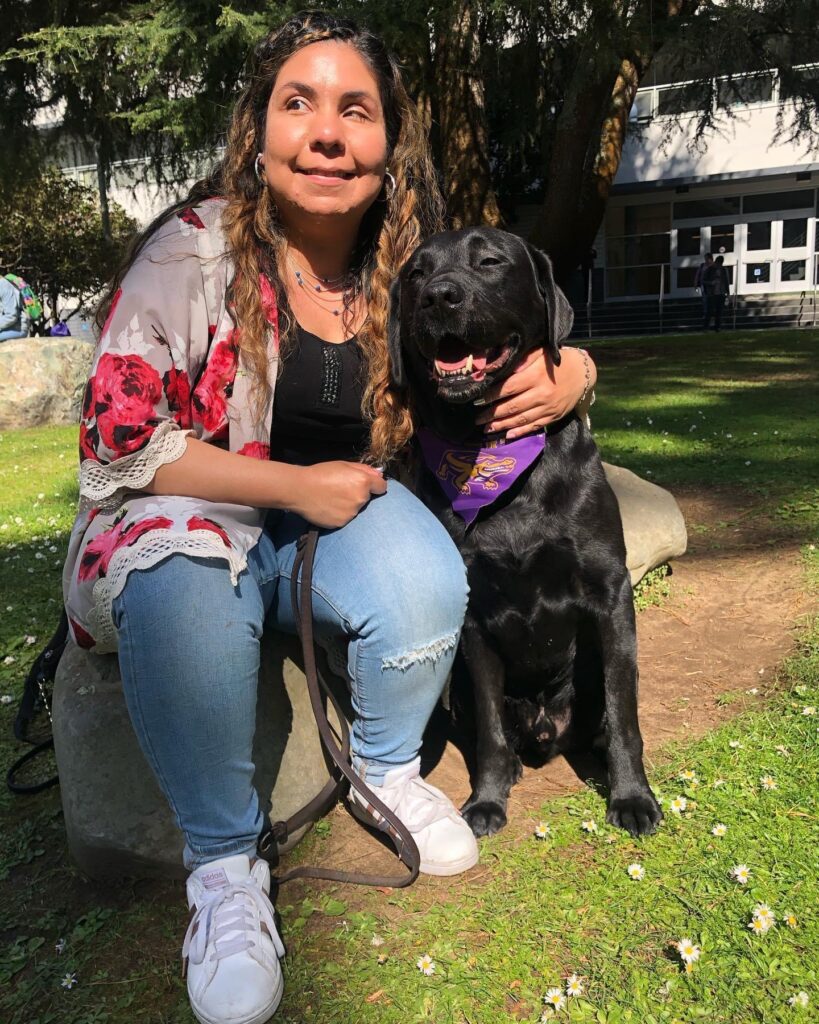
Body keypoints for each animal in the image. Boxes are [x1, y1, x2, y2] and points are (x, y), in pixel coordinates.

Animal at [386, 230, 663, 839]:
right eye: (416, 273)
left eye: (490, 260)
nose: (439, 296)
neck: (493, 452)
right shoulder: (473, 618)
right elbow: (490, 732)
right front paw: (487, 801)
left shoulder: (611, 595)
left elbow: (625, 713)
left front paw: (632, 796)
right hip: (457, 691)